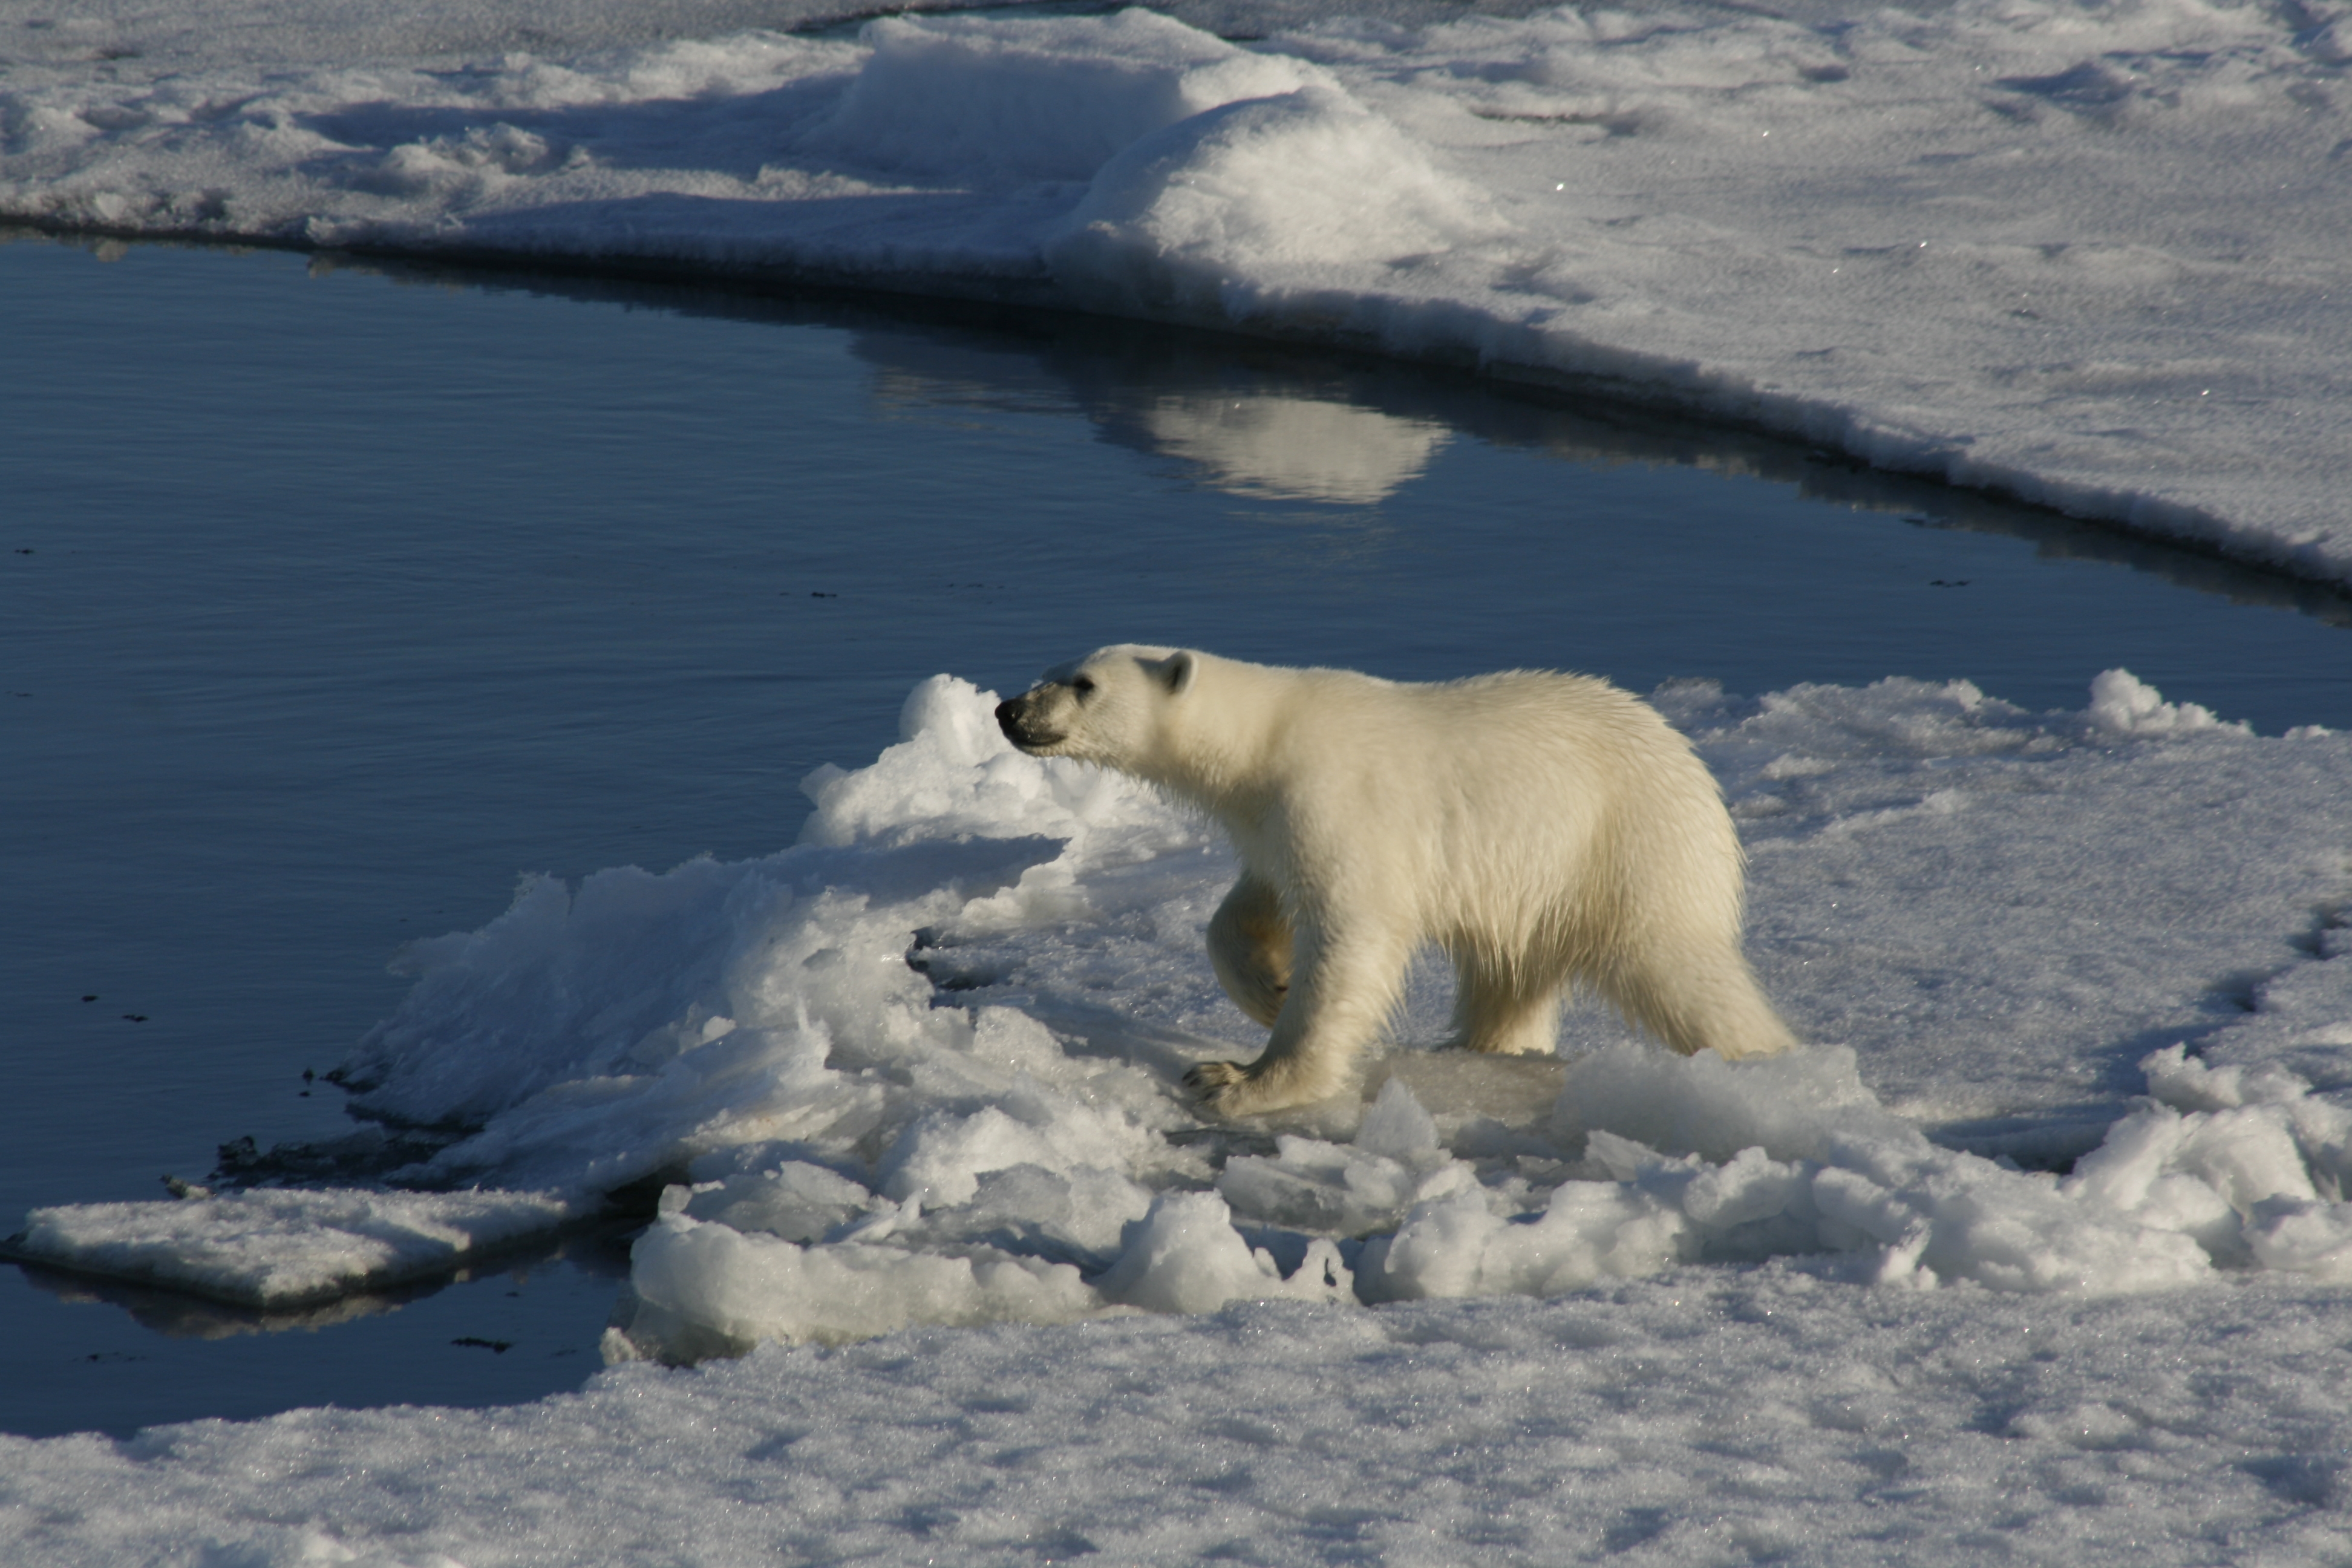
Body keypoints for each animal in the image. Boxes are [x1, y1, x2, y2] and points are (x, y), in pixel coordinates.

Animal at [992, 648, 1797, 1114]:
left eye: (1084, 684)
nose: (1008, 708)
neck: (1265, 740)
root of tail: (1698, 776)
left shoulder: (1336, 796)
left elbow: (1353, 930)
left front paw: (1236, 1080)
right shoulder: (1269, 818)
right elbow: (1252, 905)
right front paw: (1268, 987)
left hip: (1627, 846)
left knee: (1677, 967)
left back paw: (1762, 1066)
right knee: (1508, 978)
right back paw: (1482, 1048)